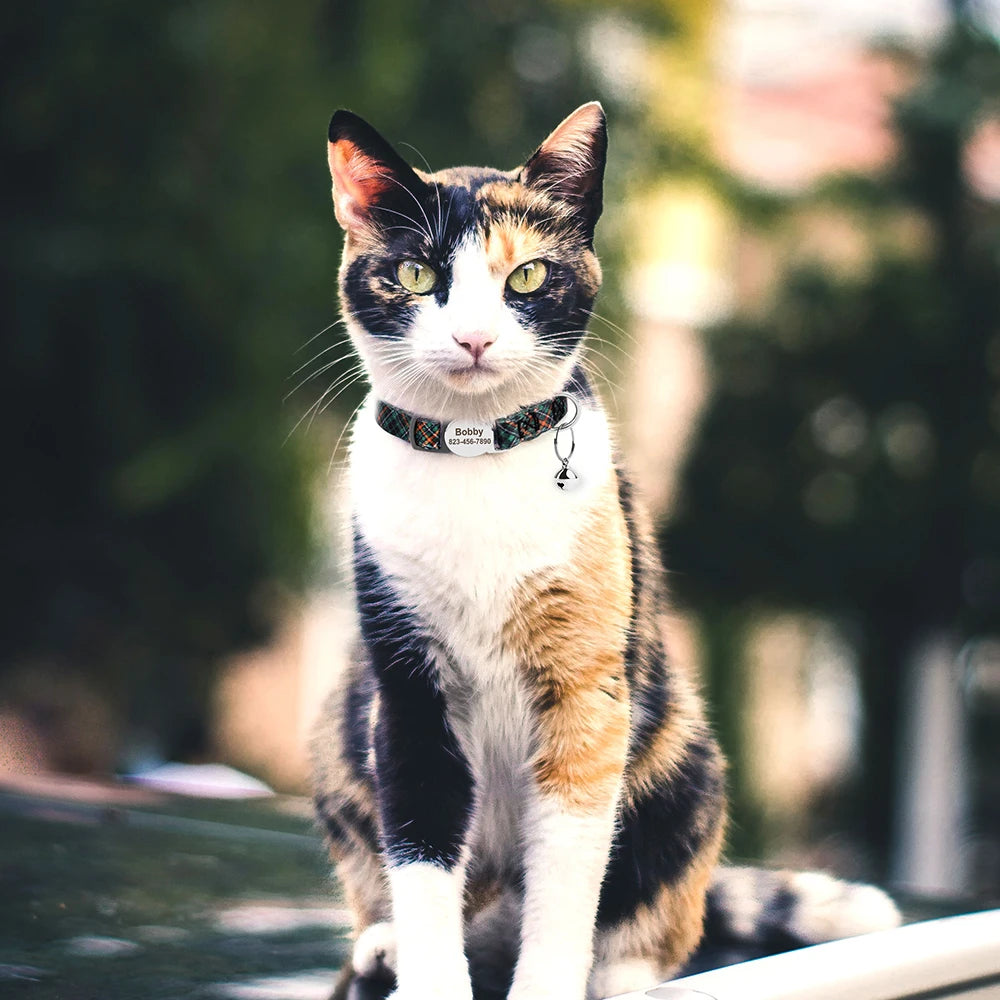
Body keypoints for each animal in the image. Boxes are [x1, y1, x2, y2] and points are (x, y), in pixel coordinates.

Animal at [306, 103, 900, 1000]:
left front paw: (551, 982)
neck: (474, 453)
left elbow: (568, 873)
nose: (473, 338)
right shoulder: (406, 687)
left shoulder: (585, 692)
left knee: (654, 920)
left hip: (685, 755)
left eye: (526, 278)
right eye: (413, 275)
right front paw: (427, 974)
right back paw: (383, 946)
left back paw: (623, 974)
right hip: (342, 722)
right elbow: (420, 850)